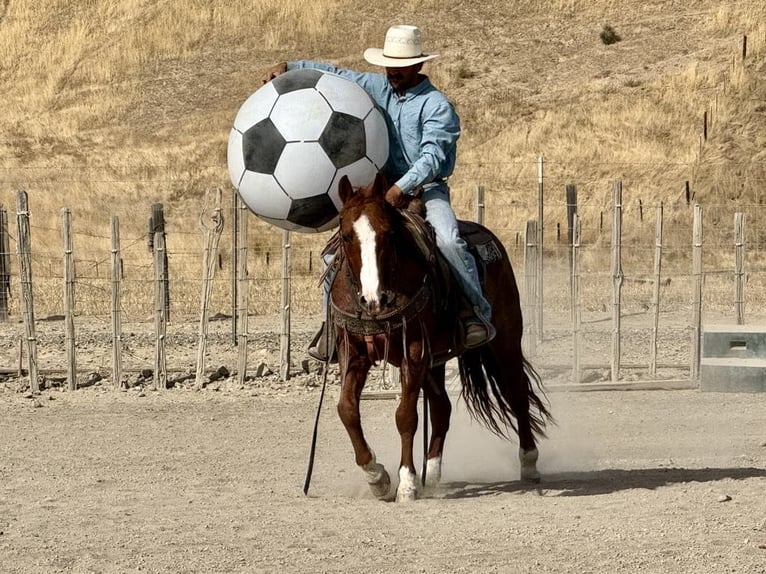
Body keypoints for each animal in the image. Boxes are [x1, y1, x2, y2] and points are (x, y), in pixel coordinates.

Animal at [330, 173, 552, 502]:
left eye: (388, 234)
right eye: (346, 236)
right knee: (442, 408)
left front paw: (407, 483)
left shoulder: (414, 351)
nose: (374, 299)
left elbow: (406, 416)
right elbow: (347, 409)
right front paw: (377, 477)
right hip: (435, 360)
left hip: (505, 340)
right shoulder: (354, 352)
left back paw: (529, 463)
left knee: (517, 393)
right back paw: (432, 475)